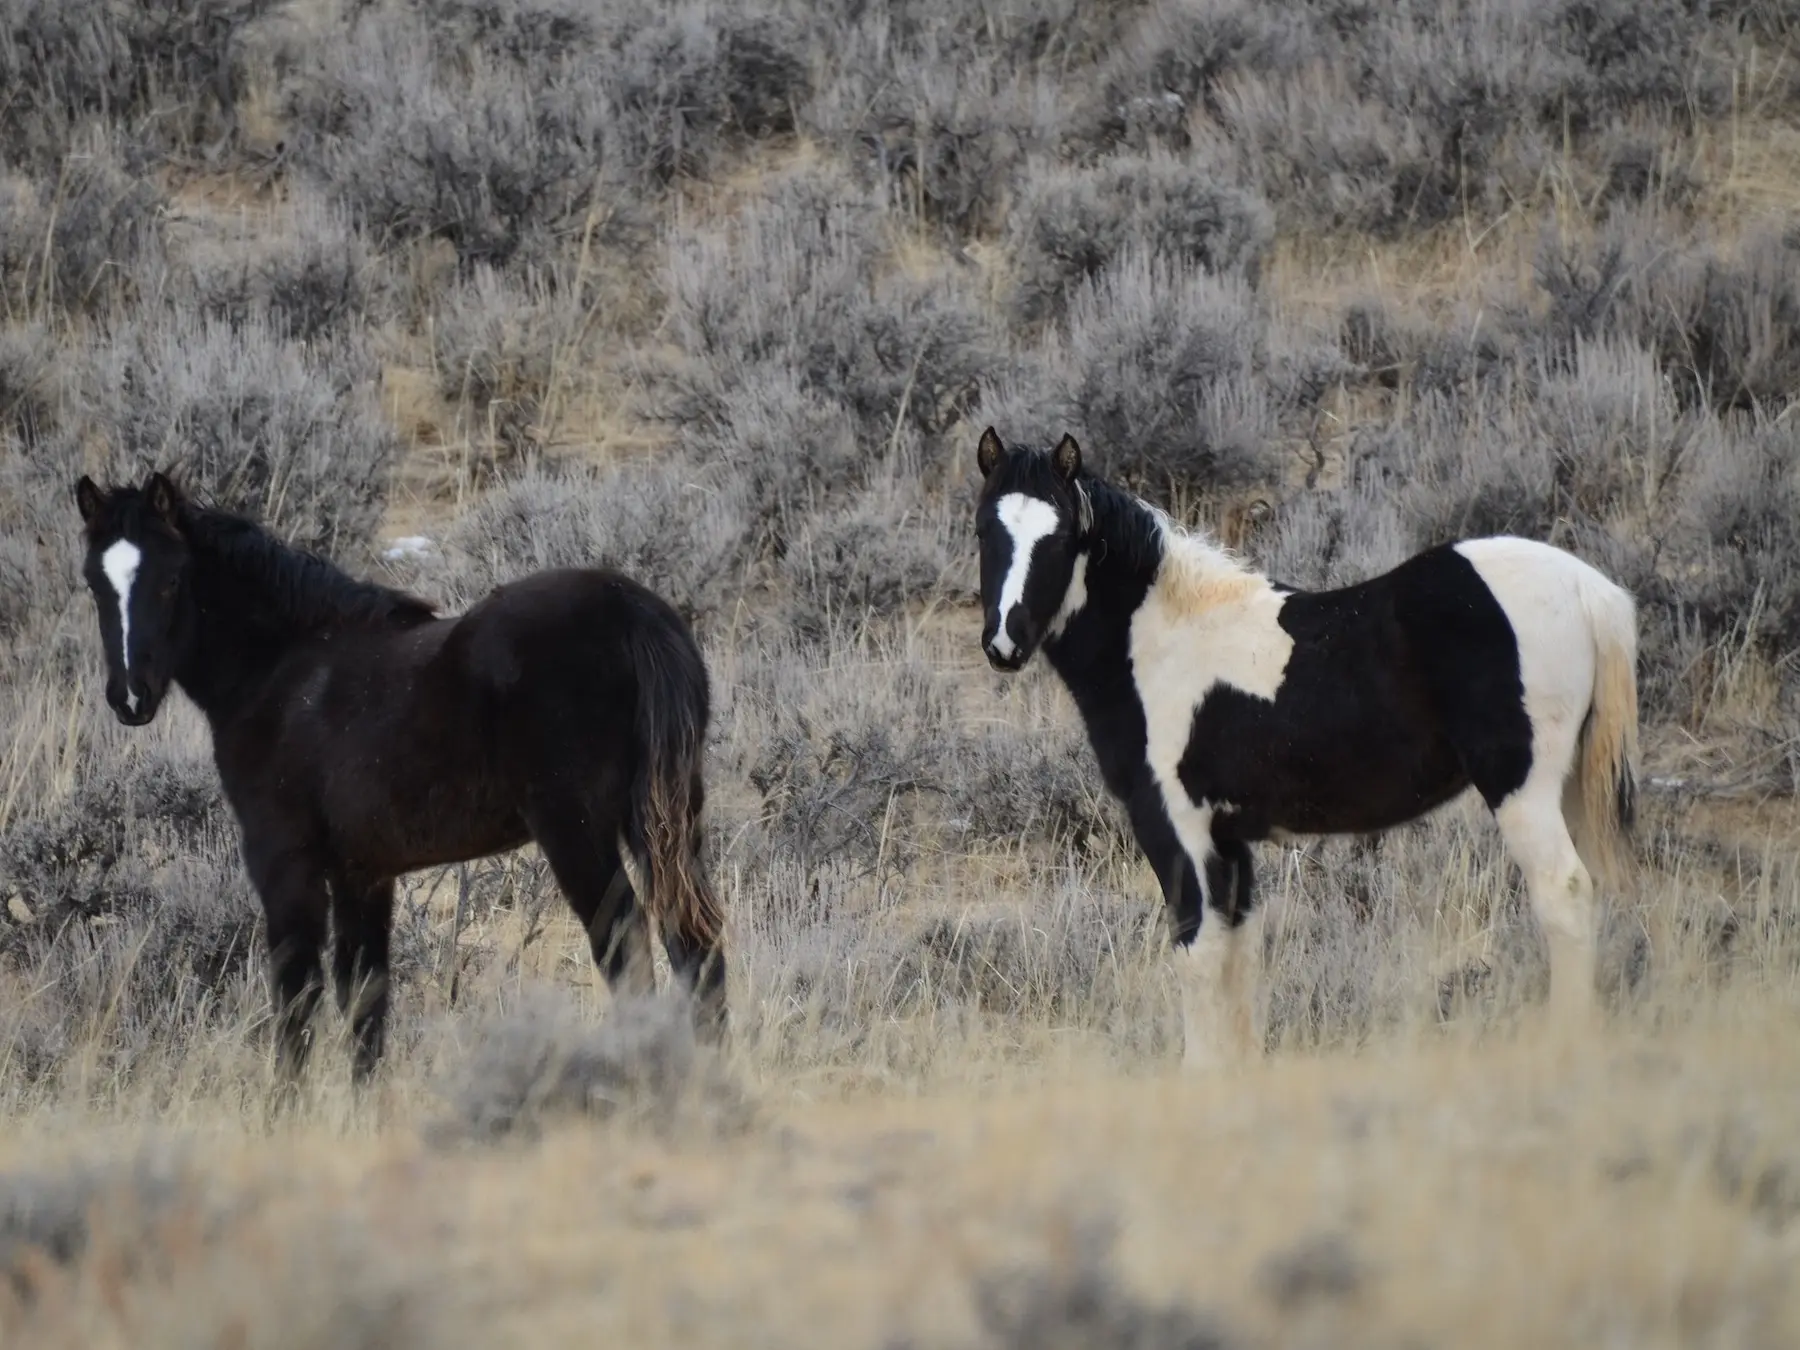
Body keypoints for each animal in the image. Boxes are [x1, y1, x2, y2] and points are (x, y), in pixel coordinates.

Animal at [73, 475, 727, 1087]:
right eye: (95, 584)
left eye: (171, 580)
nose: (130, 698)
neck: (282, 671)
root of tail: (632, 611)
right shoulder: (364, 873)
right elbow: (365, 1003)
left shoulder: (284, 863)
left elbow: (297, 999)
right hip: (670, 822)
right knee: (696, 944)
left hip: (578, 832)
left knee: (630, 951)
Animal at [979, 430, 1641, 1065]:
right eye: (985, 529)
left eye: (1061, 537)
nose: (1005, 643)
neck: (1160, 641)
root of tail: (1589, 590)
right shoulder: (1229, 838)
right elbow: (1238, 953)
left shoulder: (1176, 824)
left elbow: (1197, 951)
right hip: (1572, 785)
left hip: (1522, 789)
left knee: (1564, 895)